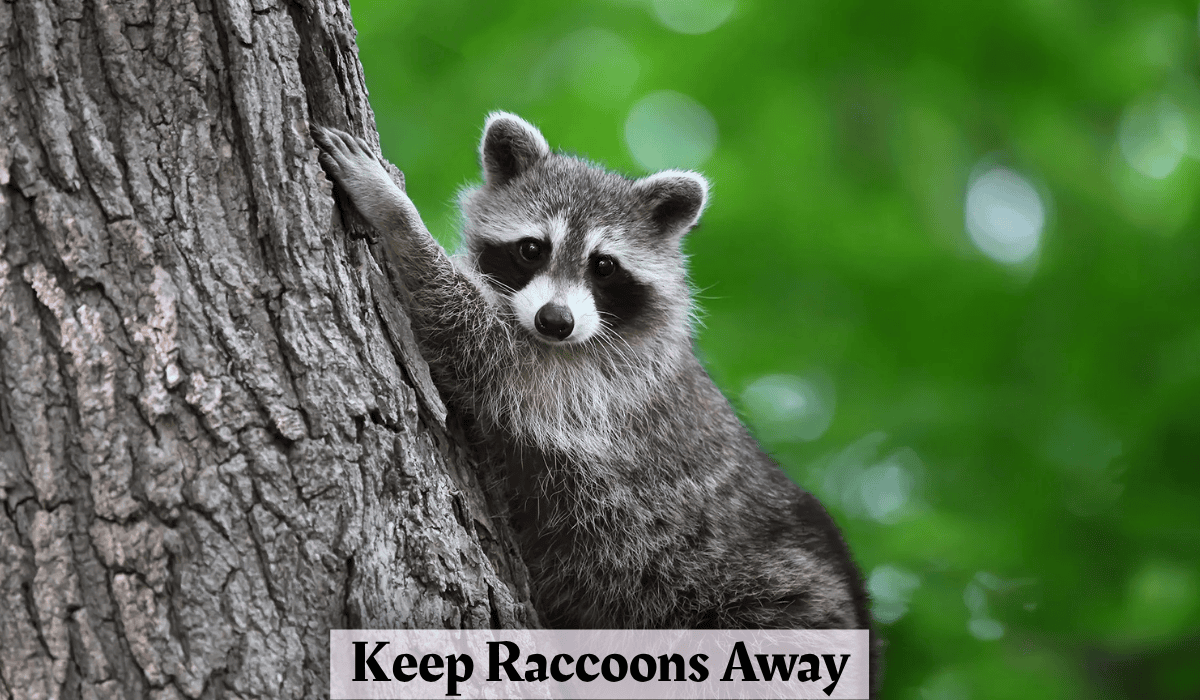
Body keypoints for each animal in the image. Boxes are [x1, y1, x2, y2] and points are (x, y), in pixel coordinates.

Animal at [312, 114, 871, 633]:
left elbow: (477, 340)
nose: (554, 321)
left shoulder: (599, 384)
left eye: (603, 266)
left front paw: (396, 214)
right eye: (531, 249)